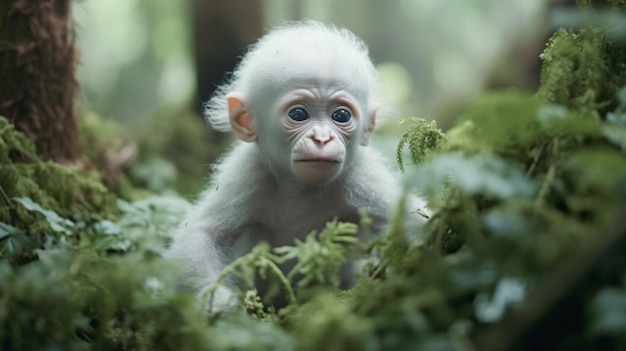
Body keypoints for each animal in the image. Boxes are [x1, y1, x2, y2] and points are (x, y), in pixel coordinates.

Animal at [166, 20, 426, 310]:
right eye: (299, 114)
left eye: (341, 115)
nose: (322, 138)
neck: (302, 189)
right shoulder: (246, 173)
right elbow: (199, 234)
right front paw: (221, 303)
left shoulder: (363, 177)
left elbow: (415, 217)